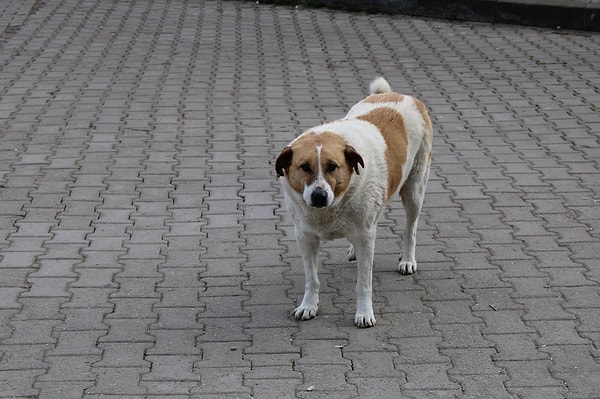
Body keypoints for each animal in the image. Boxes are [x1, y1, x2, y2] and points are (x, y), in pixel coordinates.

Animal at [274, 78, 434, 328]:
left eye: (332, 166)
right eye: (304, 167)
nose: (319, 196)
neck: (331, 208)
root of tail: (399, 95)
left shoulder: (365, 236)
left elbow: (364, 283)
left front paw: (364, 313)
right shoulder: (305, 237)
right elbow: (312, 279)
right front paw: (309, 305)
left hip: (415, 189)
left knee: (411, 228)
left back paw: (407, 259)